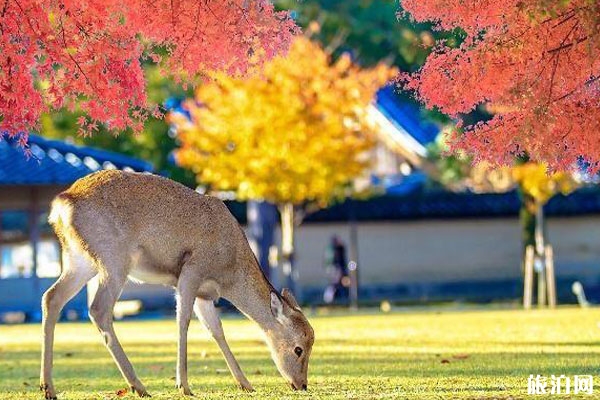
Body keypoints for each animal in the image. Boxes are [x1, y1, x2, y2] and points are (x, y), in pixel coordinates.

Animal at [40, 170, 314, 398]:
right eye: (298, 349)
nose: (301, 384)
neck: (228, 273)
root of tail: (62, 204)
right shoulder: (191, 271)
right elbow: (183, 321)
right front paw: (184, 385)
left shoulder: (206, 294)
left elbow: (216, 330)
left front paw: (245, 383)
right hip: (114, 259)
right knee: (98, 309)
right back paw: (138, 386)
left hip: (79, 259)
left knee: (51, 297)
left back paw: (48, 387)